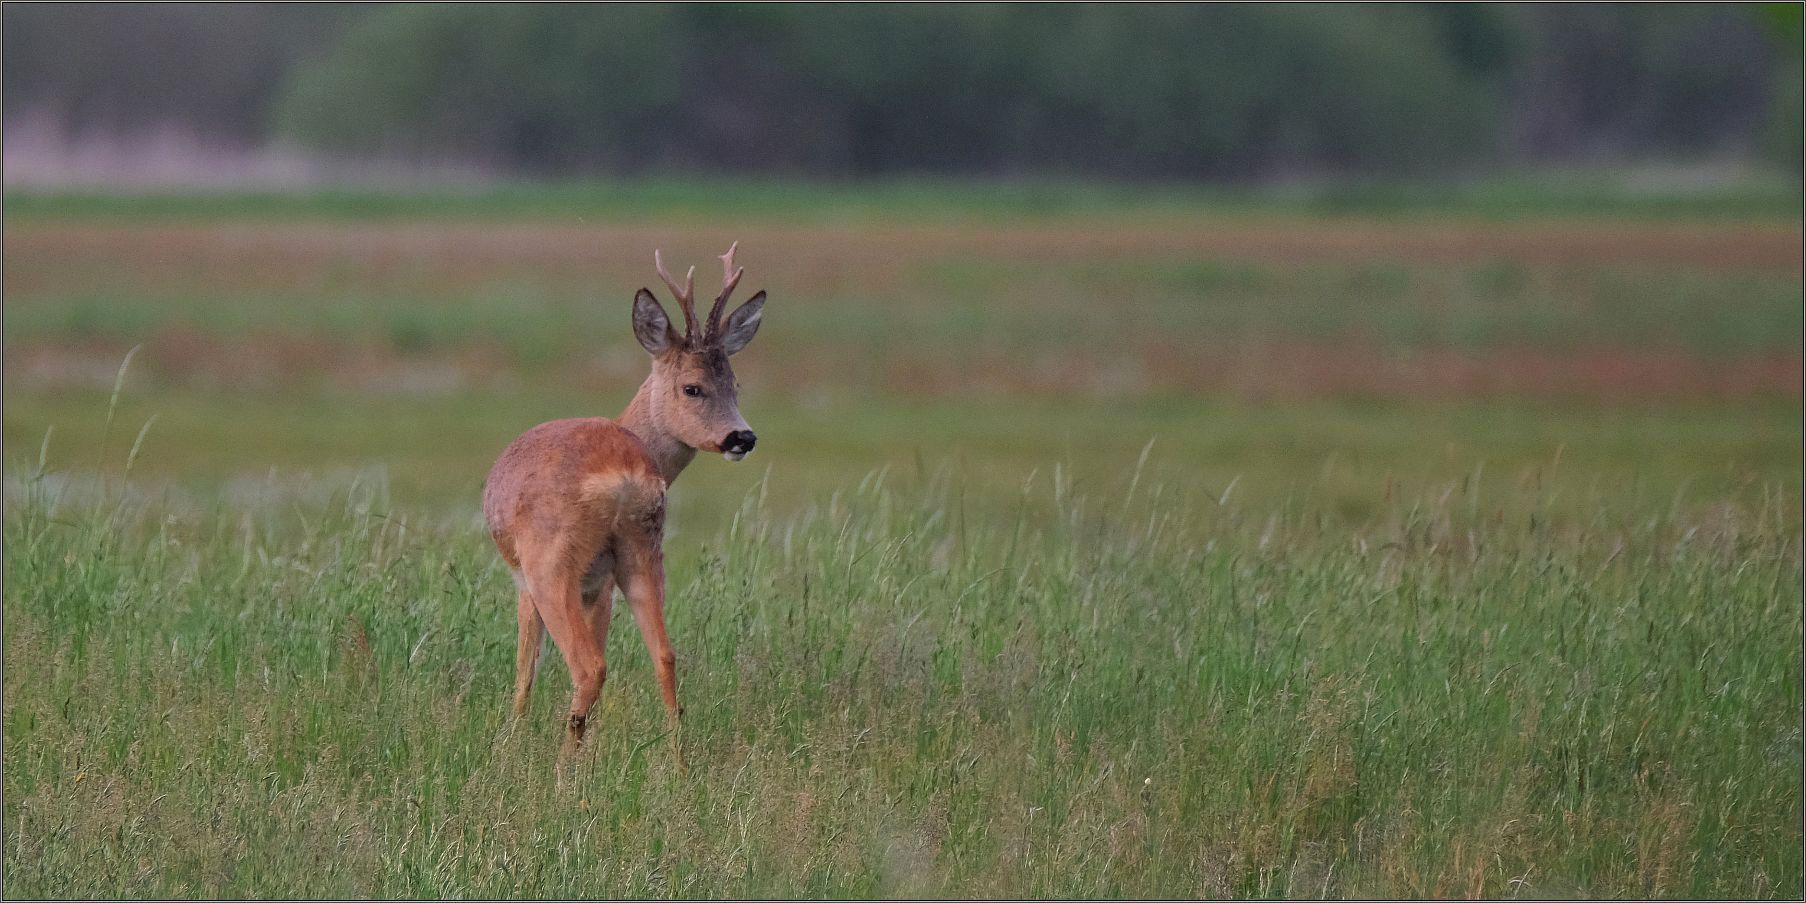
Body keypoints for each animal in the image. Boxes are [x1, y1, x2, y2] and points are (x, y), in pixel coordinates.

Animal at [484, 242, 765, 762]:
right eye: (694, 386)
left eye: (734, 385)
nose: (742, 437)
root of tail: (625, 476)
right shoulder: (602, 584)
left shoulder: (526, 578)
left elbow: (525, 667)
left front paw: (510, 742)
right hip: (642, 548)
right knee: (665, 655)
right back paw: (676, 762)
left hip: (551, 561)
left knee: (588, 665)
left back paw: (563, 770)